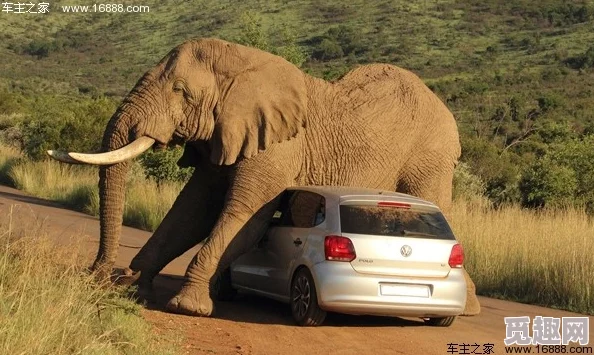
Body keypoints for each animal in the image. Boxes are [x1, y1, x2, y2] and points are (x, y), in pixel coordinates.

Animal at [47, 38, 480, 318]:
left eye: (181, 91)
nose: (98, 275)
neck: (243, 64)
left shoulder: (278, 147)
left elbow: (244, 216)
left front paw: (188, 306)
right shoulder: (225, 135)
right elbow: (191, 212)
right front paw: (135, 286)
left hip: (431, 154)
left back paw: (469, 307)